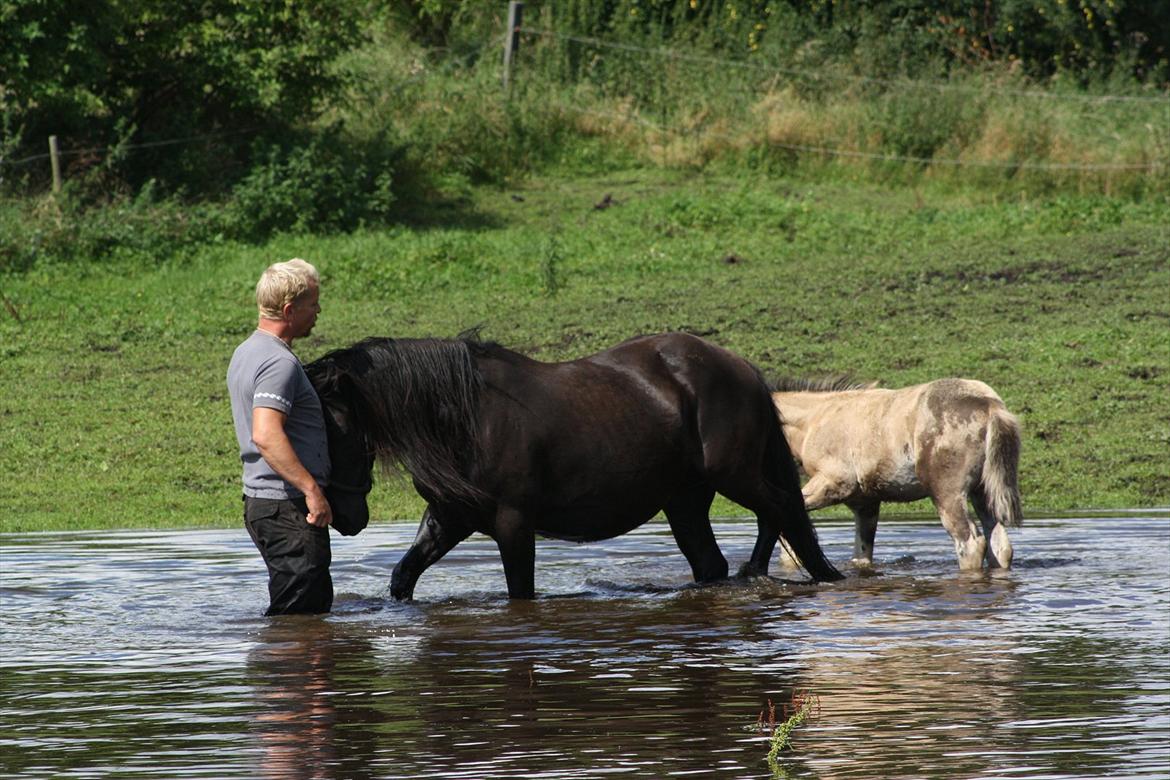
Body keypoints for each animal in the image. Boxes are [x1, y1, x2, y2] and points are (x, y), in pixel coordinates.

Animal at [311, 332, 842, 603]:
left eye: (329, 426)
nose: (344, 517)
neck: (468, 417)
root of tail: (742, 367)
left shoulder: (513, 524)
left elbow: (520, 592)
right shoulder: (449, 517)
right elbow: (403, 577)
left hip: (735, 475)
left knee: (781, 511)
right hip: (685, 500)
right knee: (718, 558)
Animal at [772, 376, 1020, 568]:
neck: (815, 421)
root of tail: (989, 405)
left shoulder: (834, 484)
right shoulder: (865, 504)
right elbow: (861, 556)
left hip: (947, 494)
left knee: (970, 544)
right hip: (983, 492)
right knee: (1000, 546)